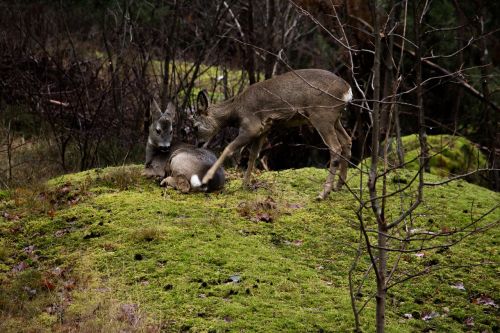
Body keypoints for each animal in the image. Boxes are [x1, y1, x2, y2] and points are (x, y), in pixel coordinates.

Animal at [193, 67, 354, 197]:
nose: (199, 144)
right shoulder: (264, 129)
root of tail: (347, 90)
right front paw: (245, 185)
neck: (236, 111)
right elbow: (253, 155)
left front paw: (205, 179)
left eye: (195, 126)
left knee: (335, 147)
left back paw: (323, 193)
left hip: (322, 115)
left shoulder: (251, 126)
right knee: (347, 141)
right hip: (335, 119)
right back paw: (338, 186)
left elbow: (228, 148)